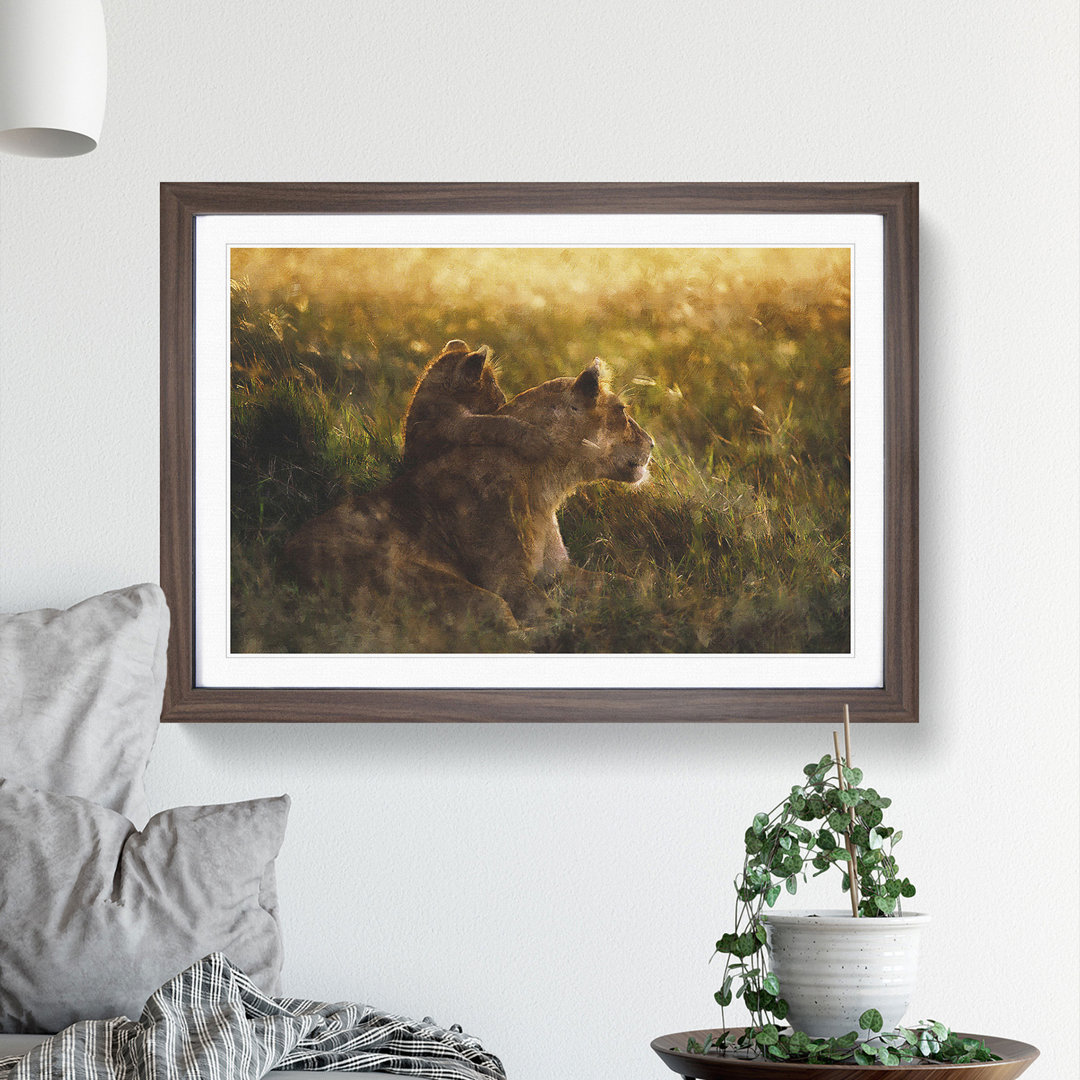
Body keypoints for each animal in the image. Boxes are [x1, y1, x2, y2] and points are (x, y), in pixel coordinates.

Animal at [285, 358, 653, 632]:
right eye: (622, 411)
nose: (651, 444)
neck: (548, 485)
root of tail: (283, 560)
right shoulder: (506, 580)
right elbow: (552, 612)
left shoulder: (557, 572)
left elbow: (628, 582)